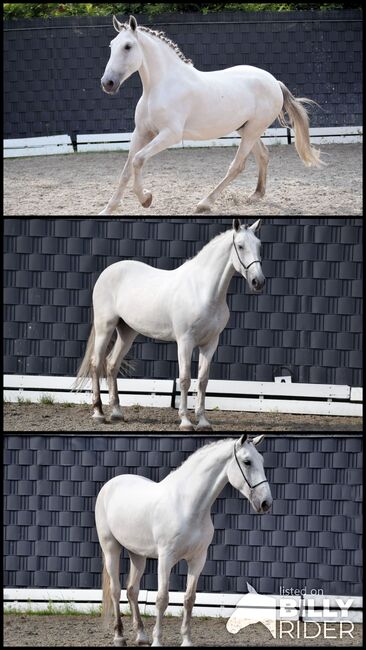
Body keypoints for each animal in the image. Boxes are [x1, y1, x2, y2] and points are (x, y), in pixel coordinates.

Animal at [73, 219, 264, 430]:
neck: (202, 291)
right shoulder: (185, 341)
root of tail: (107, 272)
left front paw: (203, 422)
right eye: (240, 246)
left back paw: (116, 413)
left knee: (111, 364)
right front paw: (185, 421)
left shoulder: (210, 343)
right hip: (104, 327)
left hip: (127, 332)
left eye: (259, 245)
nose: (258, 281)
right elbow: (185, 379)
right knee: (96, 363)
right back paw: (98, 413)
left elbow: (203, 381)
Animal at [96, 436, 274, 644]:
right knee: (115, 590)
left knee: (132, 590)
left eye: (261, 460)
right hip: (111, 548)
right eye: (247, 462)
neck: (186, 506)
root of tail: (110, 484)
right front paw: (157, 641)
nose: (266, 503)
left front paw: (187, 640)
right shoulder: (165, 559)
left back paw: (141, 635)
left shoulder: (198, 559)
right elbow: (162, 599)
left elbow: (189, 599)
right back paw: (119, 636)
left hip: (137, 554)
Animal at [98, 15, 322, 214]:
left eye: (128, 46)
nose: (108, 83)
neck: (160, 87)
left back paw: (204, 203)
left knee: (237, 166)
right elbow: (126, 170)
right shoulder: (141, 133)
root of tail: (274, 82)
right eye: (111, 45)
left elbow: (138, 160)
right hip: (246, 129)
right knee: (263, 156)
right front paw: (108, 210)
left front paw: (146, 198)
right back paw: (256, 195)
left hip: (252, 131)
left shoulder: (170, 135)